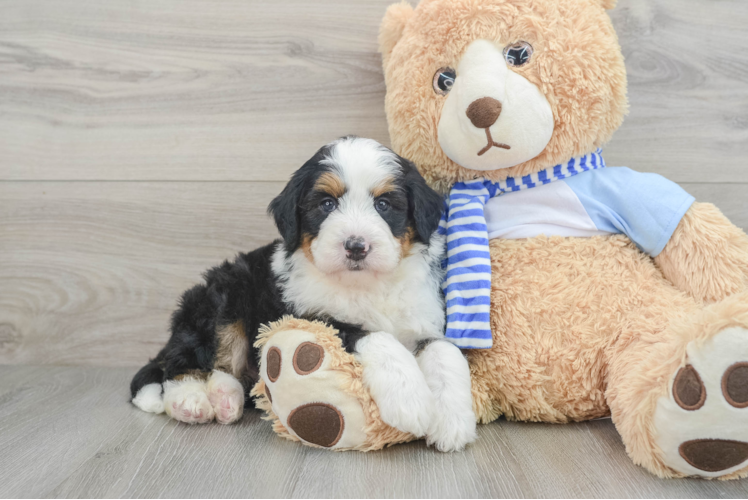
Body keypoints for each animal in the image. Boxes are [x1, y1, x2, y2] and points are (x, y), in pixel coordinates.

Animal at [129, 138, 476, 454]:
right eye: (327, 204)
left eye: (383, 205)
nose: (356, 246)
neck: (366, 285)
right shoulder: (308, 316)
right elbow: (375, 336)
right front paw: (410, 400)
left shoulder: (424, 317)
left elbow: (446, 353)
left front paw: (453, 421)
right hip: (222, 296)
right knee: (185, 362)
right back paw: (192, 401)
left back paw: (225, 398)